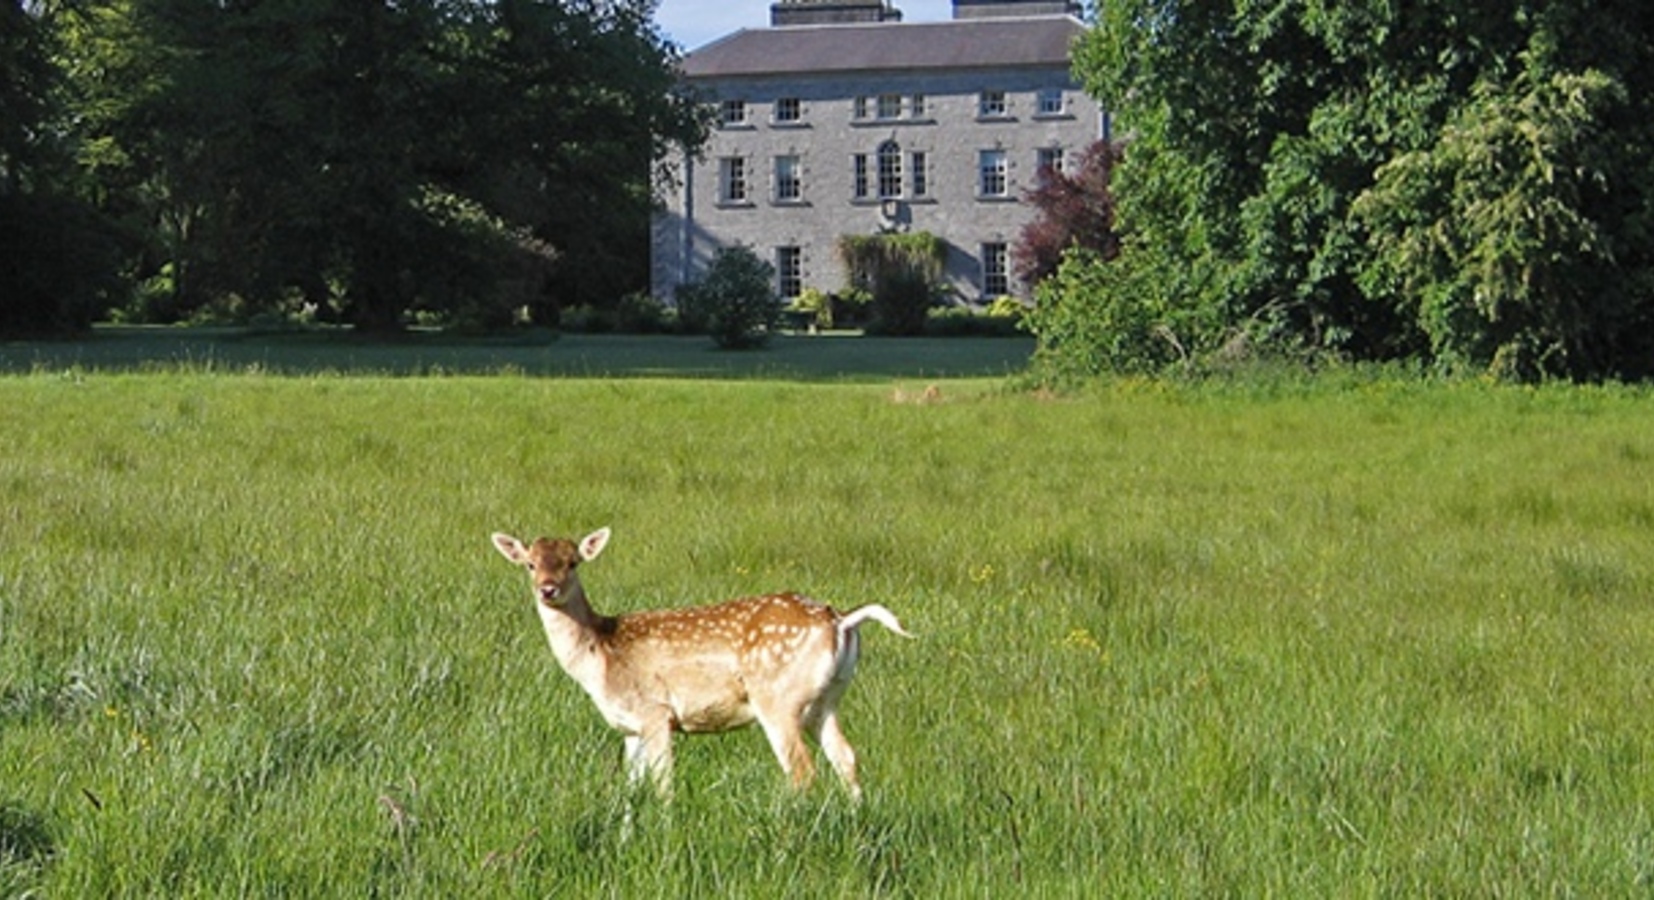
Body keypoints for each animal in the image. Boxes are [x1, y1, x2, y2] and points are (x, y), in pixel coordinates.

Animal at [489, 526, 913, 800]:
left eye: (573, 562)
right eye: (530, 563)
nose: (548, 589)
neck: (600, 655)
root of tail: (840, 620)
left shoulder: (656, 712)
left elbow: (663, 785)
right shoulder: (629, 727)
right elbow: (630, 790)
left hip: (778, 698)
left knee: (802, 772)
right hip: (826, 700)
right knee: (847, 758)